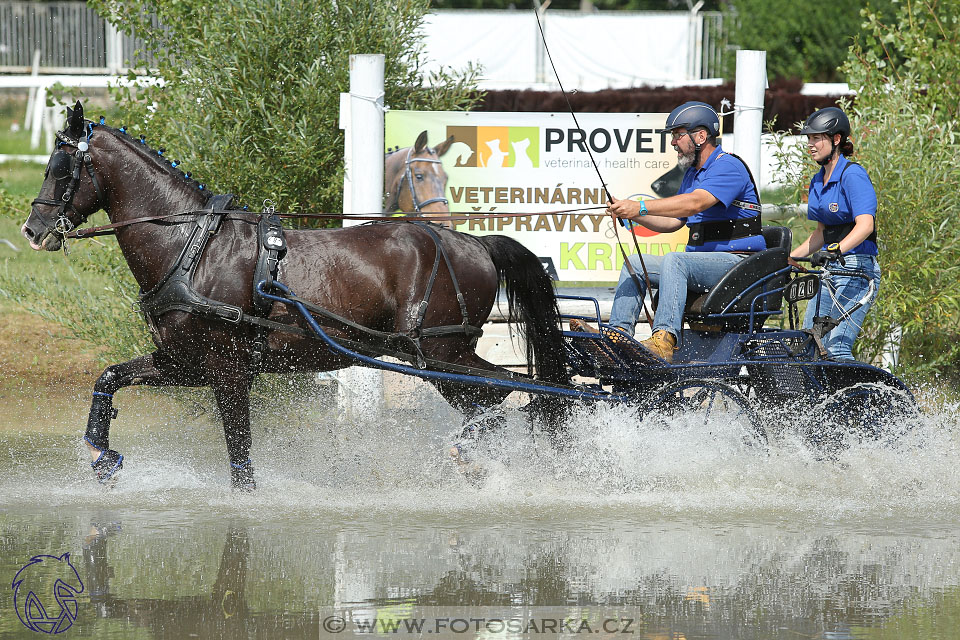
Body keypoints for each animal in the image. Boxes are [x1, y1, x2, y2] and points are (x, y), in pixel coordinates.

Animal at [20, 101, 568, 490]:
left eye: (62, 168)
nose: (33, 230)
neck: (192, 247)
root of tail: (474, 242)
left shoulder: (227, 371)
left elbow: (241, 461)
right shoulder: (186, 362)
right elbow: (110, 377)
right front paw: (101, 456)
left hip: (440, 351)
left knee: (508, 390)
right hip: (439, 358)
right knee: (494, 401)